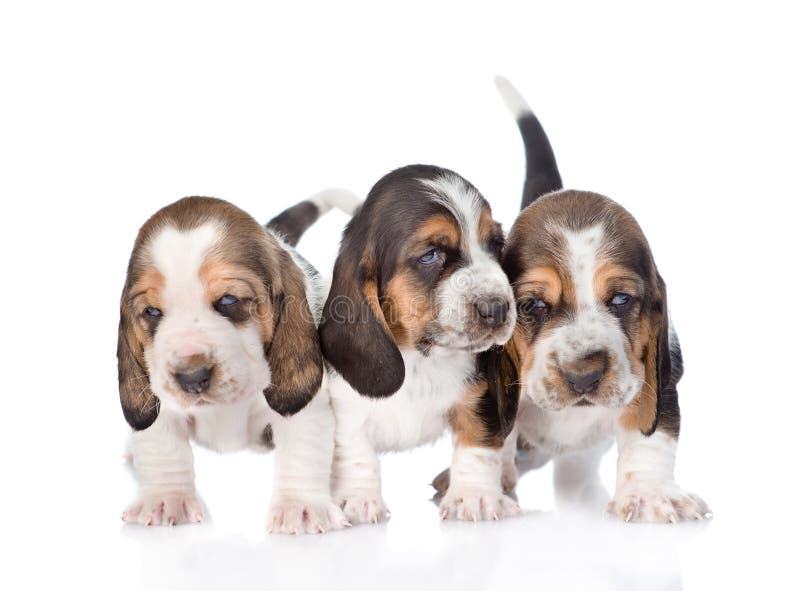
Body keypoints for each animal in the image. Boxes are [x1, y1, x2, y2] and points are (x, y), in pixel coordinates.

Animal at [117, 191, 358, 536]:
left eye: (229, 300)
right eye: (151, 312)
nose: (192, 377)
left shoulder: (308, 407)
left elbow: (302, 449)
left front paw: (301, 507)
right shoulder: (160, 396)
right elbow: (162, 447)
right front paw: (165, 500)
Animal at [318, 164, 524, 524]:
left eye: (496, 244)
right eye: (430, 255)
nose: (499, 309)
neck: (420, 357)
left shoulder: (479, 397)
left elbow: (478, 444)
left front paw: (474, 497)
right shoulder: (346, 408)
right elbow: (357, 452)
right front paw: (359, 500)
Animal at [438, 78, 712, 524]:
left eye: (620, 298)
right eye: (533, 306)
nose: (583, 376)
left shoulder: (660, 368)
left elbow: (651, 431)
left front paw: (652, 494)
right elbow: (495, 429)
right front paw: (481, 492)